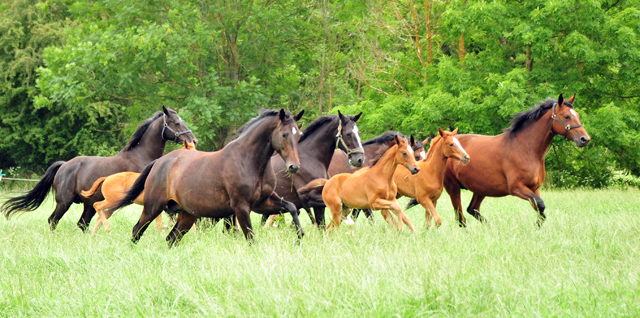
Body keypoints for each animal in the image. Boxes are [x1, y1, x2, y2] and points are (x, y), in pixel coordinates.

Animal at [0, 107, 195, 231]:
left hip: (88, 205)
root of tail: (63, 166)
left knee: (82, 224)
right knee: (53, 220)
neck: (141, 156)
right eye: (177, 123)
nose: (193, 140)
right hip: (64, 202)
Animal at [106, 109, 304, 246]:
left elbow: (292, 207)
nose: (294, 166)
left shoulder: (263, 202)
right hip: (153, 206)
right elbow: (251, 238)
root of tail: (159, 162)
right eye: (284, 134)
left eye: (299, 135)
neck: (249, 160)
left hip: (187, 215)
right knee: (137, 230)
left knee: (171, 238)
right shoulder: (241, 207)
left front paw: (299, 237)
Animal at [410, 94, 592, 226]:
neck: (525, 148)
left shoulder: (534, 188)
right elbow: (540, 205)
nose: (584, 139)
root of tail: (439, 141)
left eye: (576, 115)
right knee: (461, 218)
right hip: (453, 187)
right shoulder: (517, 188)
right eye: (567, 116)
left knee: (472, 209)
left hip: (481, 188)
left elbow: (540, 209)